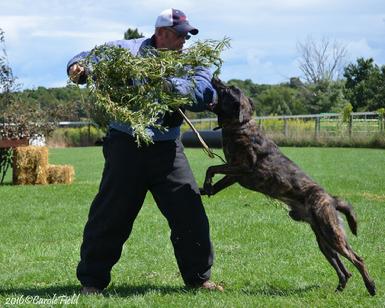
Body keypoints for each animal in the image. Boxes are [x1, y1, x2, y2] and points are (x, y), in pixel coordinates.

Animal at [201, 77, 376, 296]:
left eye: (227, 89)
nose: (215, 77)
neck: (241, 125)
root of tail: (331, 199)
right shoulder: (234, 174)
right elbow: (216, 179)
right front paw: (204, 189)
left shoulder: (241, 167)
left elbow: (211, 168)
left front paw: (206, 184)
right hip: (324, 241)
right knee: (344, 269)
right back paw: (339, 289)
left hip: (332, 235)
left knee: (358, 260)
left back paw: (371, 287)